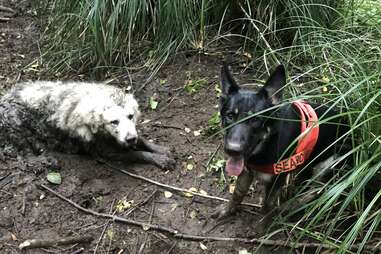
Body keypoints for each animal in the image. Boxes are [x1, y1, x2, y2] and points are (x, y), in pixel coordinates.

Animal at [0, 81, 175, 169]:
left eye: (131, 116)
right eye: (114, 122)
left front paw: (160, 149)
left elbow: (142, 140)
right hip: (16, 126)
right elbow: (137, 154)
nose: (130, 138)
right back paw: (44, 161)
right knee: (23, 155)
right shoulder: (104, 150)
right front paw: (160, 159)